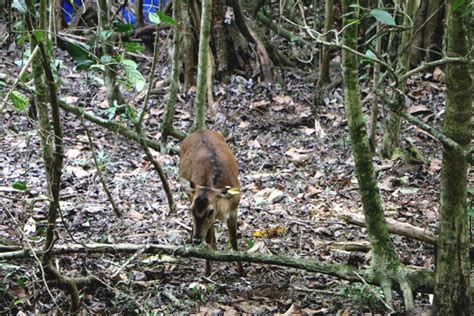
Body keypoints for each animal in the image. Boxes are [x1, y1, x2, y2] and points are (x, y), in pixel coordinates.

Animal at [179, 130, 244, 276]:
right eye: (191, 209)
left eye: (210, 211)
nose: (196, 240)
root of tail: (200, 131)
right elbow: (208, 240)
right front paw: (208, 272)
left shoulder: (234, 209)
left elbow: (234, 240)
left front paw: (242, 271)